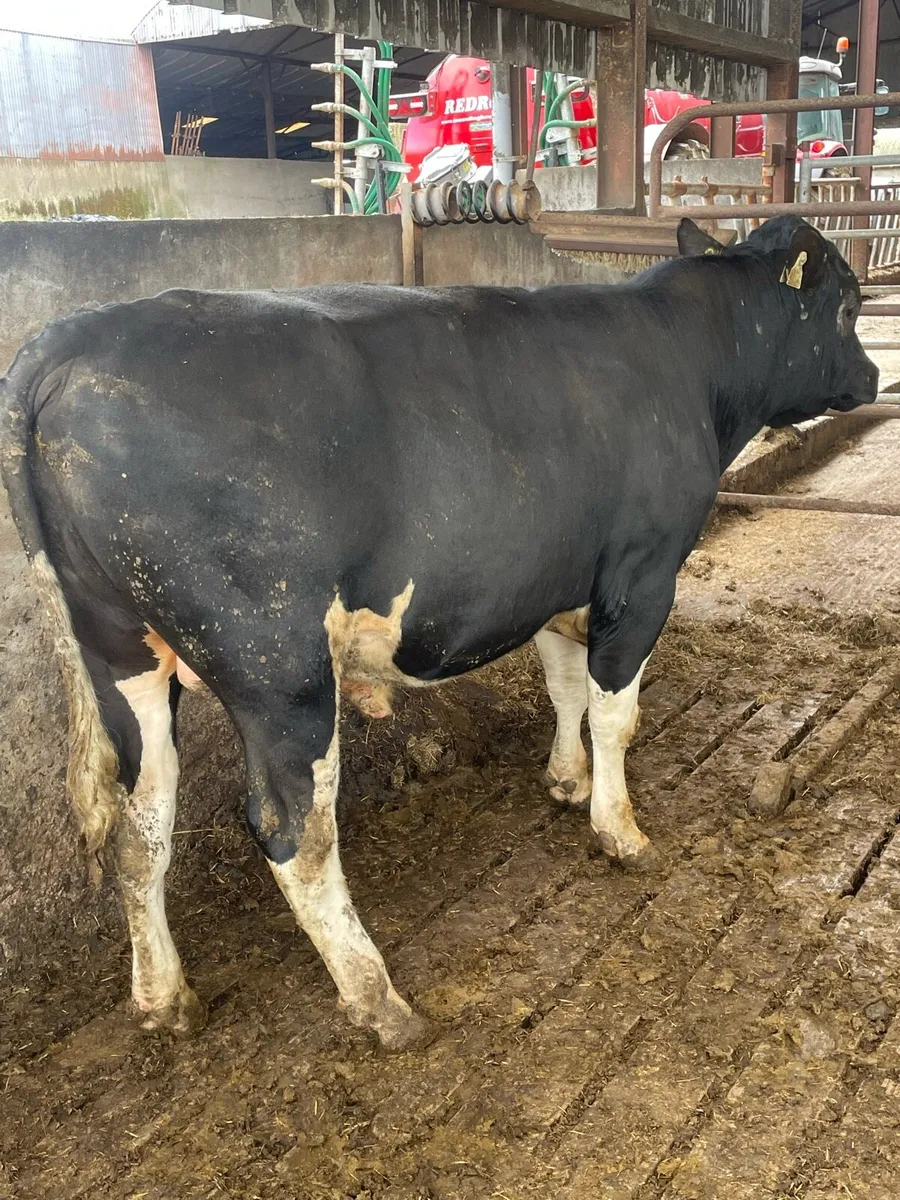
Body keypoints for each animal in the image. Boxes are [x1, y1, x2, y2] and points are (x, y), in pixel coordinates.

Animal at [0, 217, 877, 1050]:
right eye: (848, 302)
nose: (872, 377)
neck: (689, 356)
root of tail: (65, 340)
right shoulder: (642, 573)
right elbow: (615, 713)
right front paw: (619, 829)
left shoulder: (554, 578)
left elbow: (564, 687)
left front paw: (565, 781)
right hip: (278, 665)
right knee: (293, 832)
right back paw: (377, 999)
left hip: (121, 653)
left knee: (139, 823)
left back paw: (164, 1000)